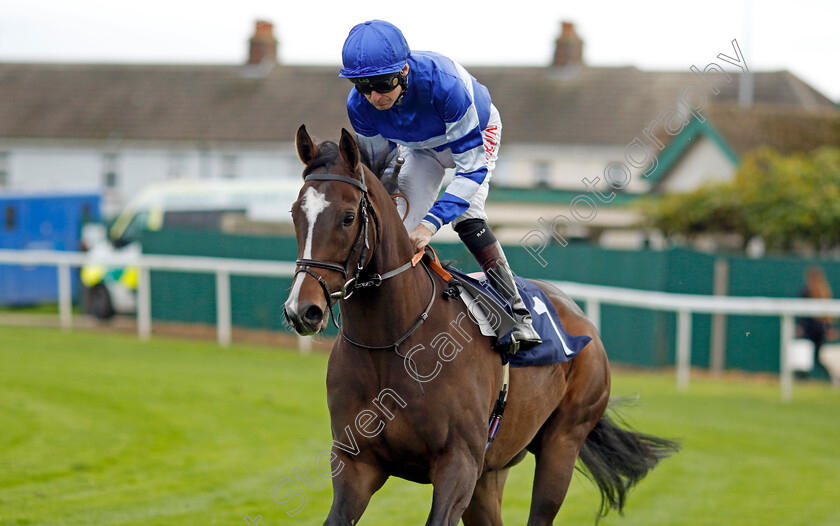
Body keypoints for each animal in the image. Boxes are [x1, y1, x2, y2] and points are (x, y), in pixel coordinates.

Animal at [282, 126, 676, 524]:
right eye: (296, 214)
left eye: (347, 217)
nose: (302, 310)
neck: (392, 342)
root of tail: (581, 318)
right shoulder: (357, 464)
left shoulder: (459, 465)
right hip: (491, 471)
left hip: (563, 442)